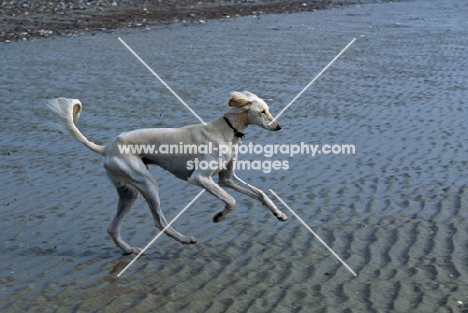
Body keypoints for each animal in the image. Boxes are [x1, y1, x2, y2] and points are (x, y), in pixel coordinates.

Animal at [48, 91, 288, 255]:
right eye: (262, 111)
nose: (279, 127)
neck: (226, 131)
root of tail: (106, 147)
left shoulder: (227, 178)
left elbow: (260, 193)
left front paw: (279, 214)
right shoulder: (200, 178)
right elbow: (231, 201)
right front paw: (219, 216)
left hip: (130, 192)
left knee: (112, 228)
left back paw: (130, 250)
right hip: (147, 183)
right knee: (159, 221)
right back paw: (185, 240)